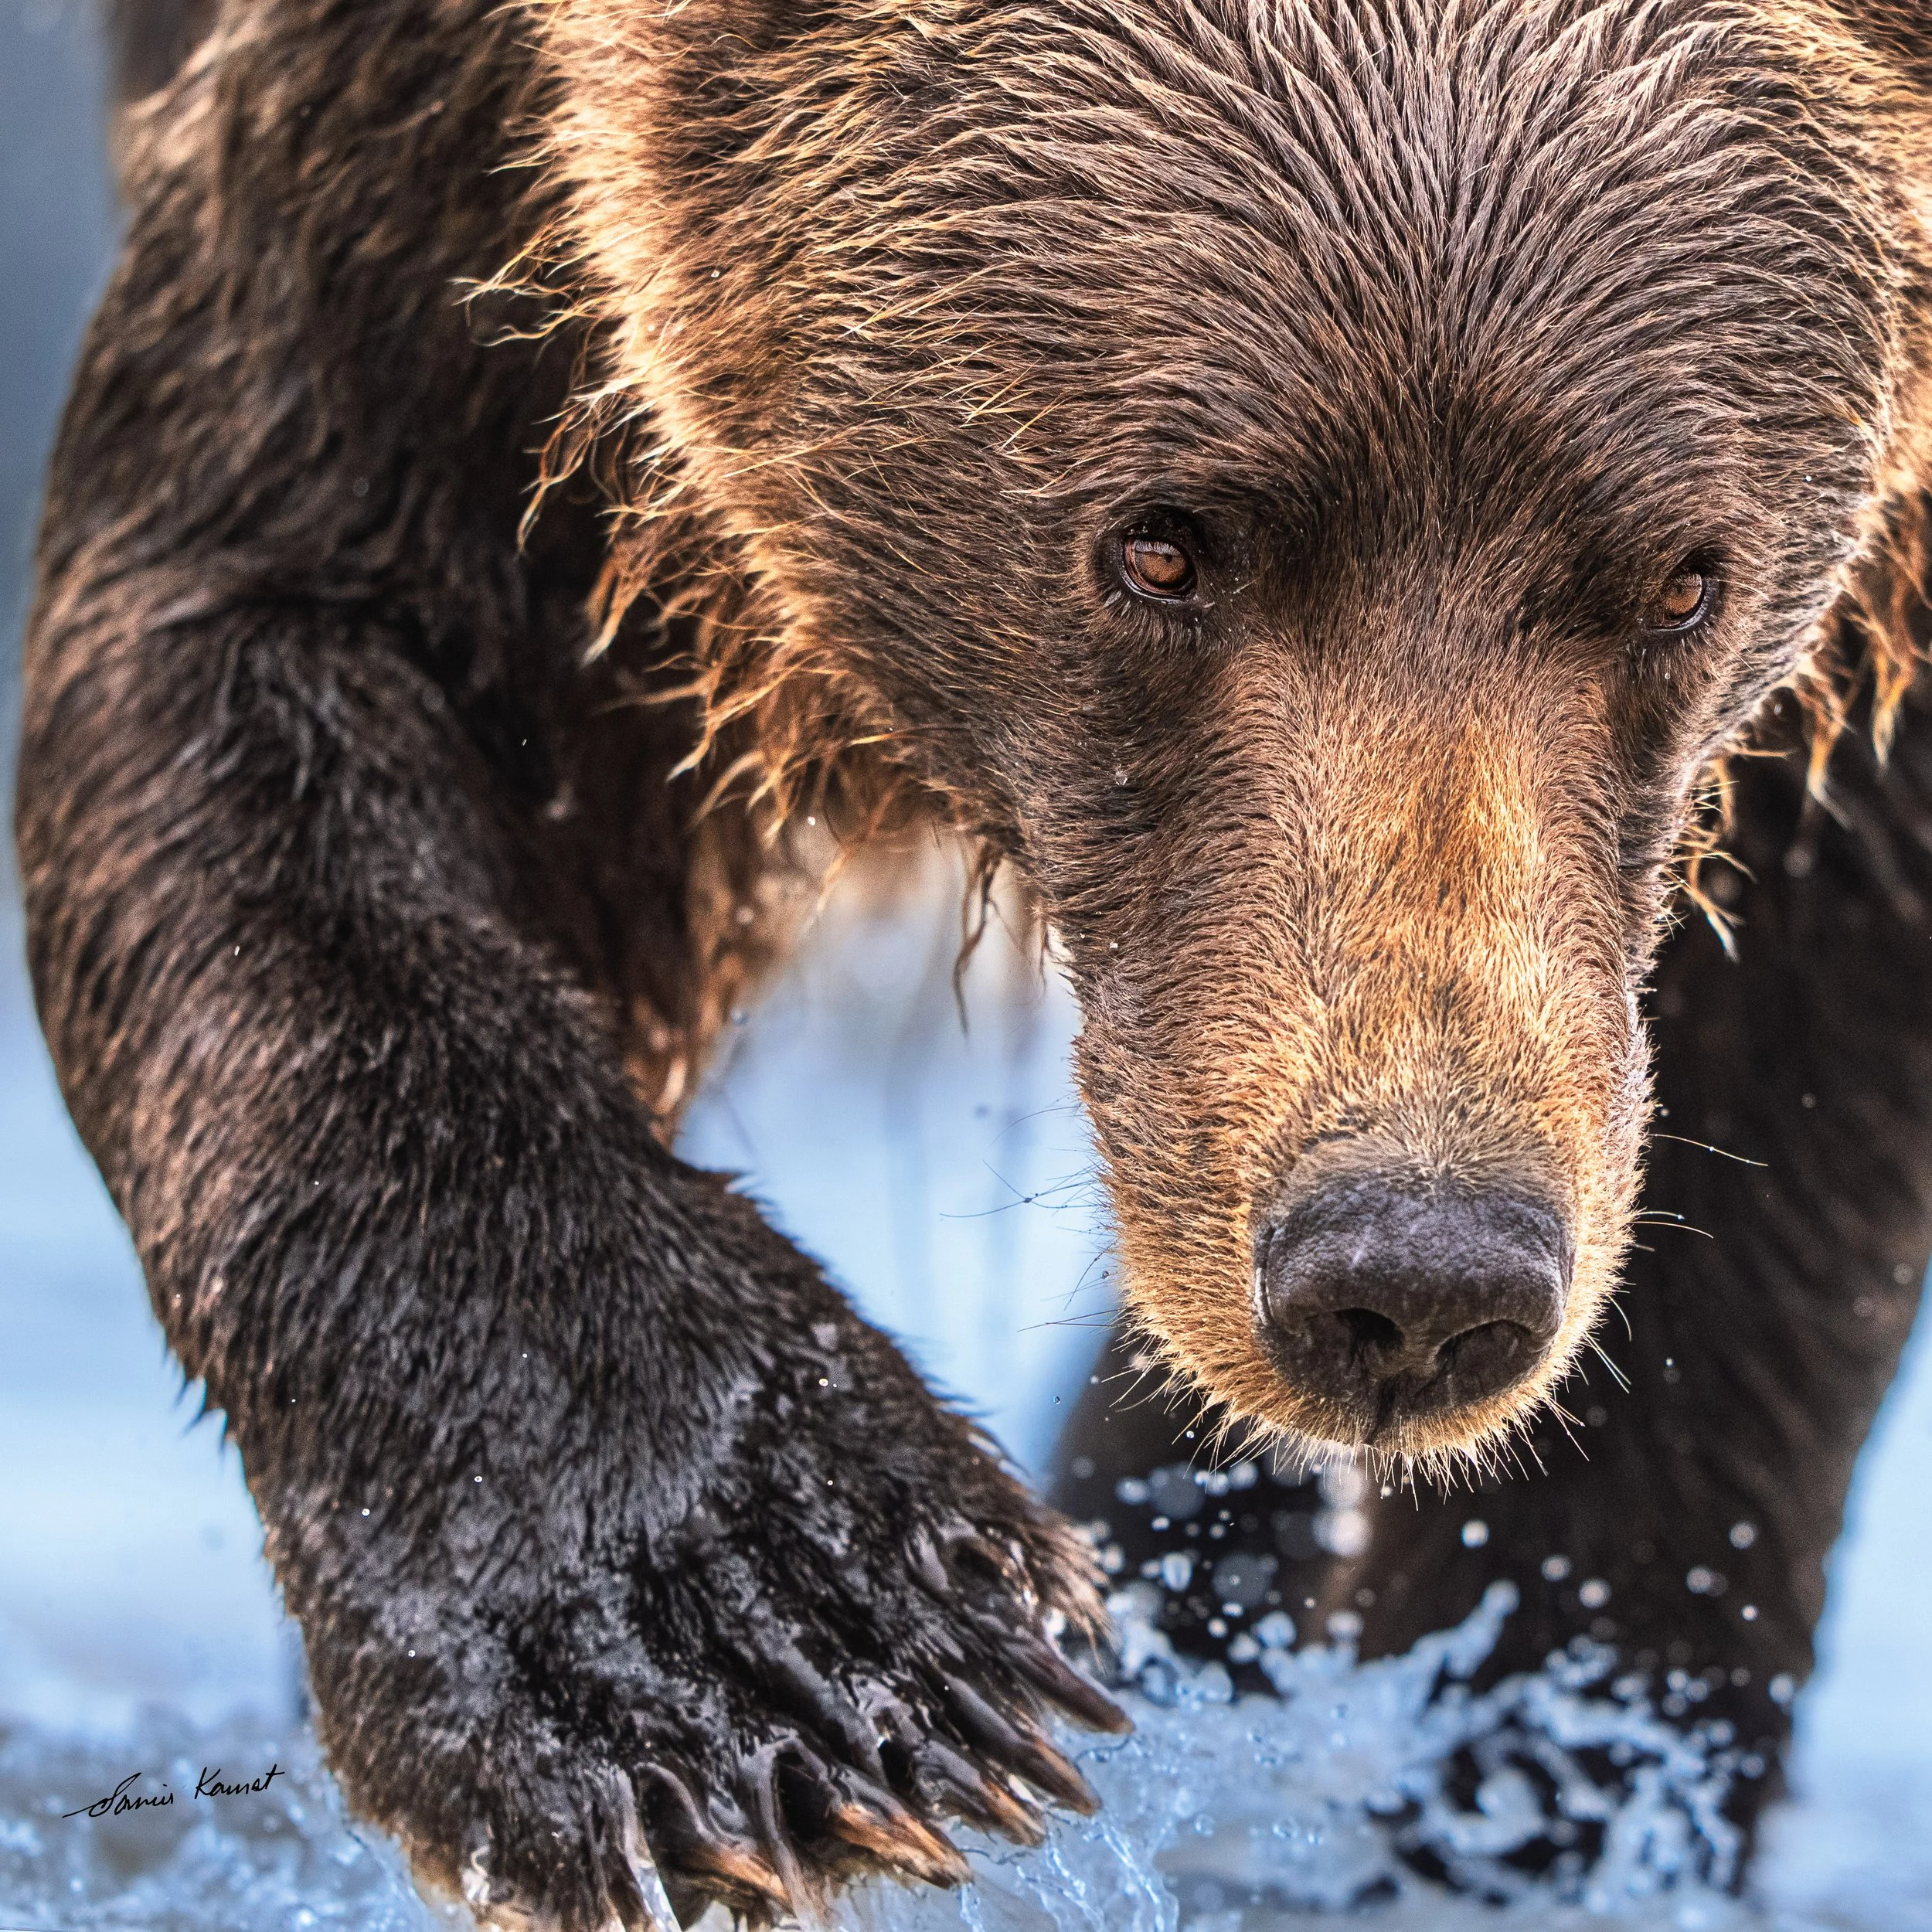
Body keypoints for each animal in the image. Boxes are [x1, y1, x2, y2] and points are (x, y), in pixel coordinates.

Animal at [17, 0, 1932, 1924]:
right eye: (1158, 541)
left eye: (1681, 580)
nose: (1415, 1267)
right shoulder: (422, 199)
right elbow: (264, 636)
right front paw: (775, 1638)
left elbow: (1782, 1098)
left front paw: (1549, 1782)